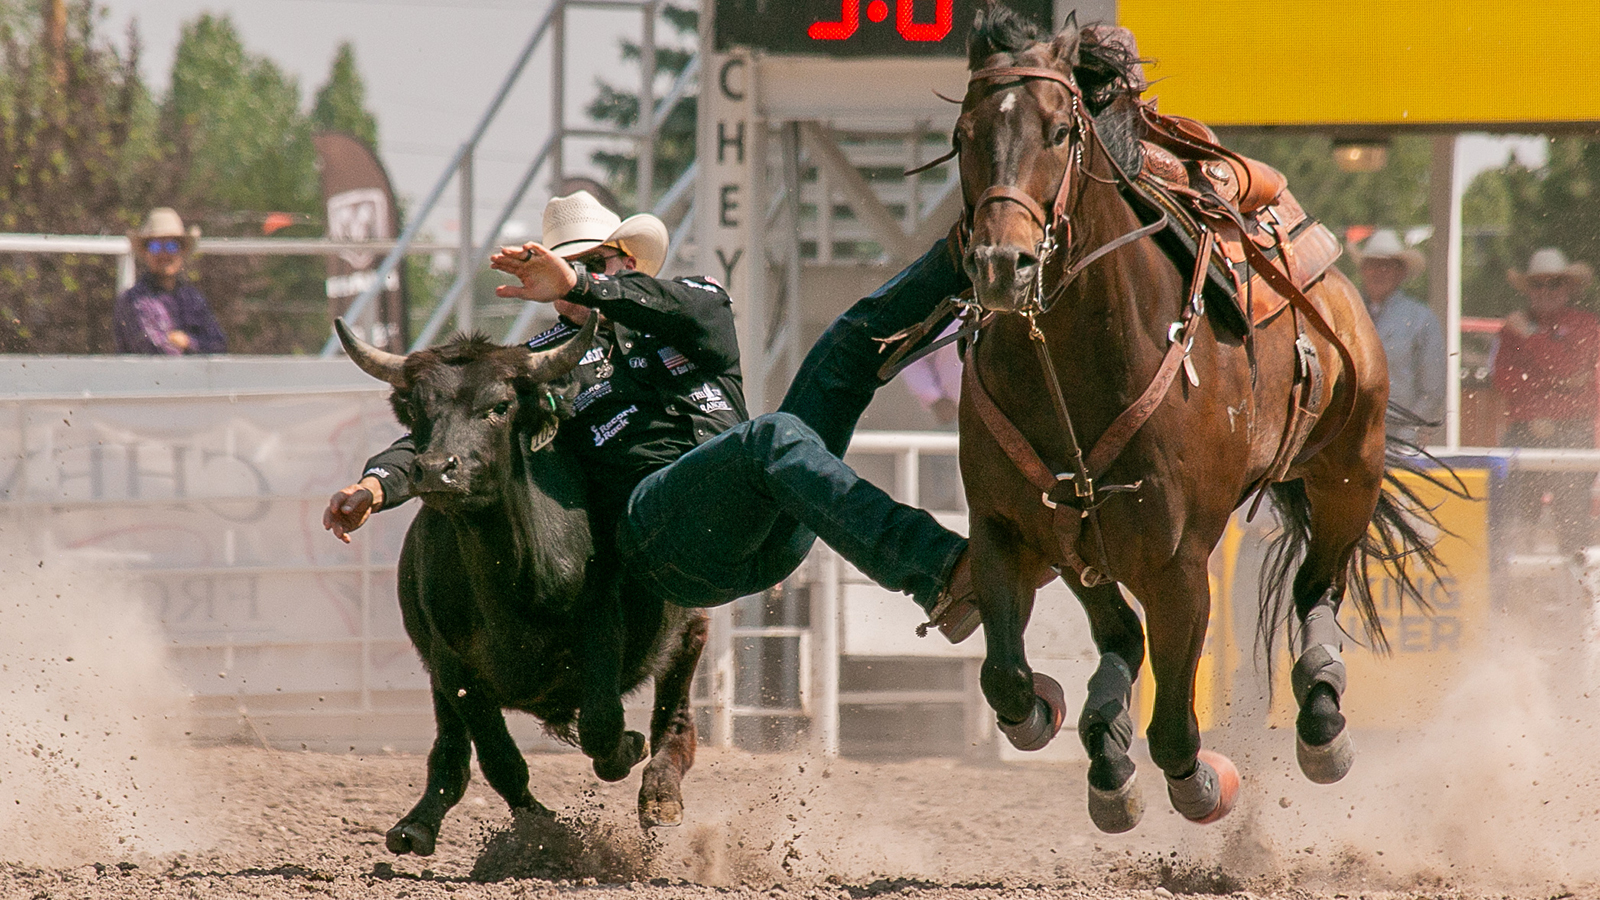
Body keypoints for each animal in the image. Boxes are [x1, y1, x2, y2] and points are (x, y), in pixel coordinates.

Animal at [947, 10, 1452, 832]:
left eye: (1058, 131)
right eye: (963, 135)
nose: (1002, 264)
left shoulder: (1179, 563)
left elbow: (1177, 730)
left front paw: (1199, 783)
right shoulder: (1005, 529)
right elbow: (1007, 678)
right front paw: (1066, 723)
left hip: (1351, 465)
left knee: (1317, 587)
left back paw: (1321, 719)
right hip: (1086, 549)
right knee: (1119, 636)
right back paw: (1104, 735)